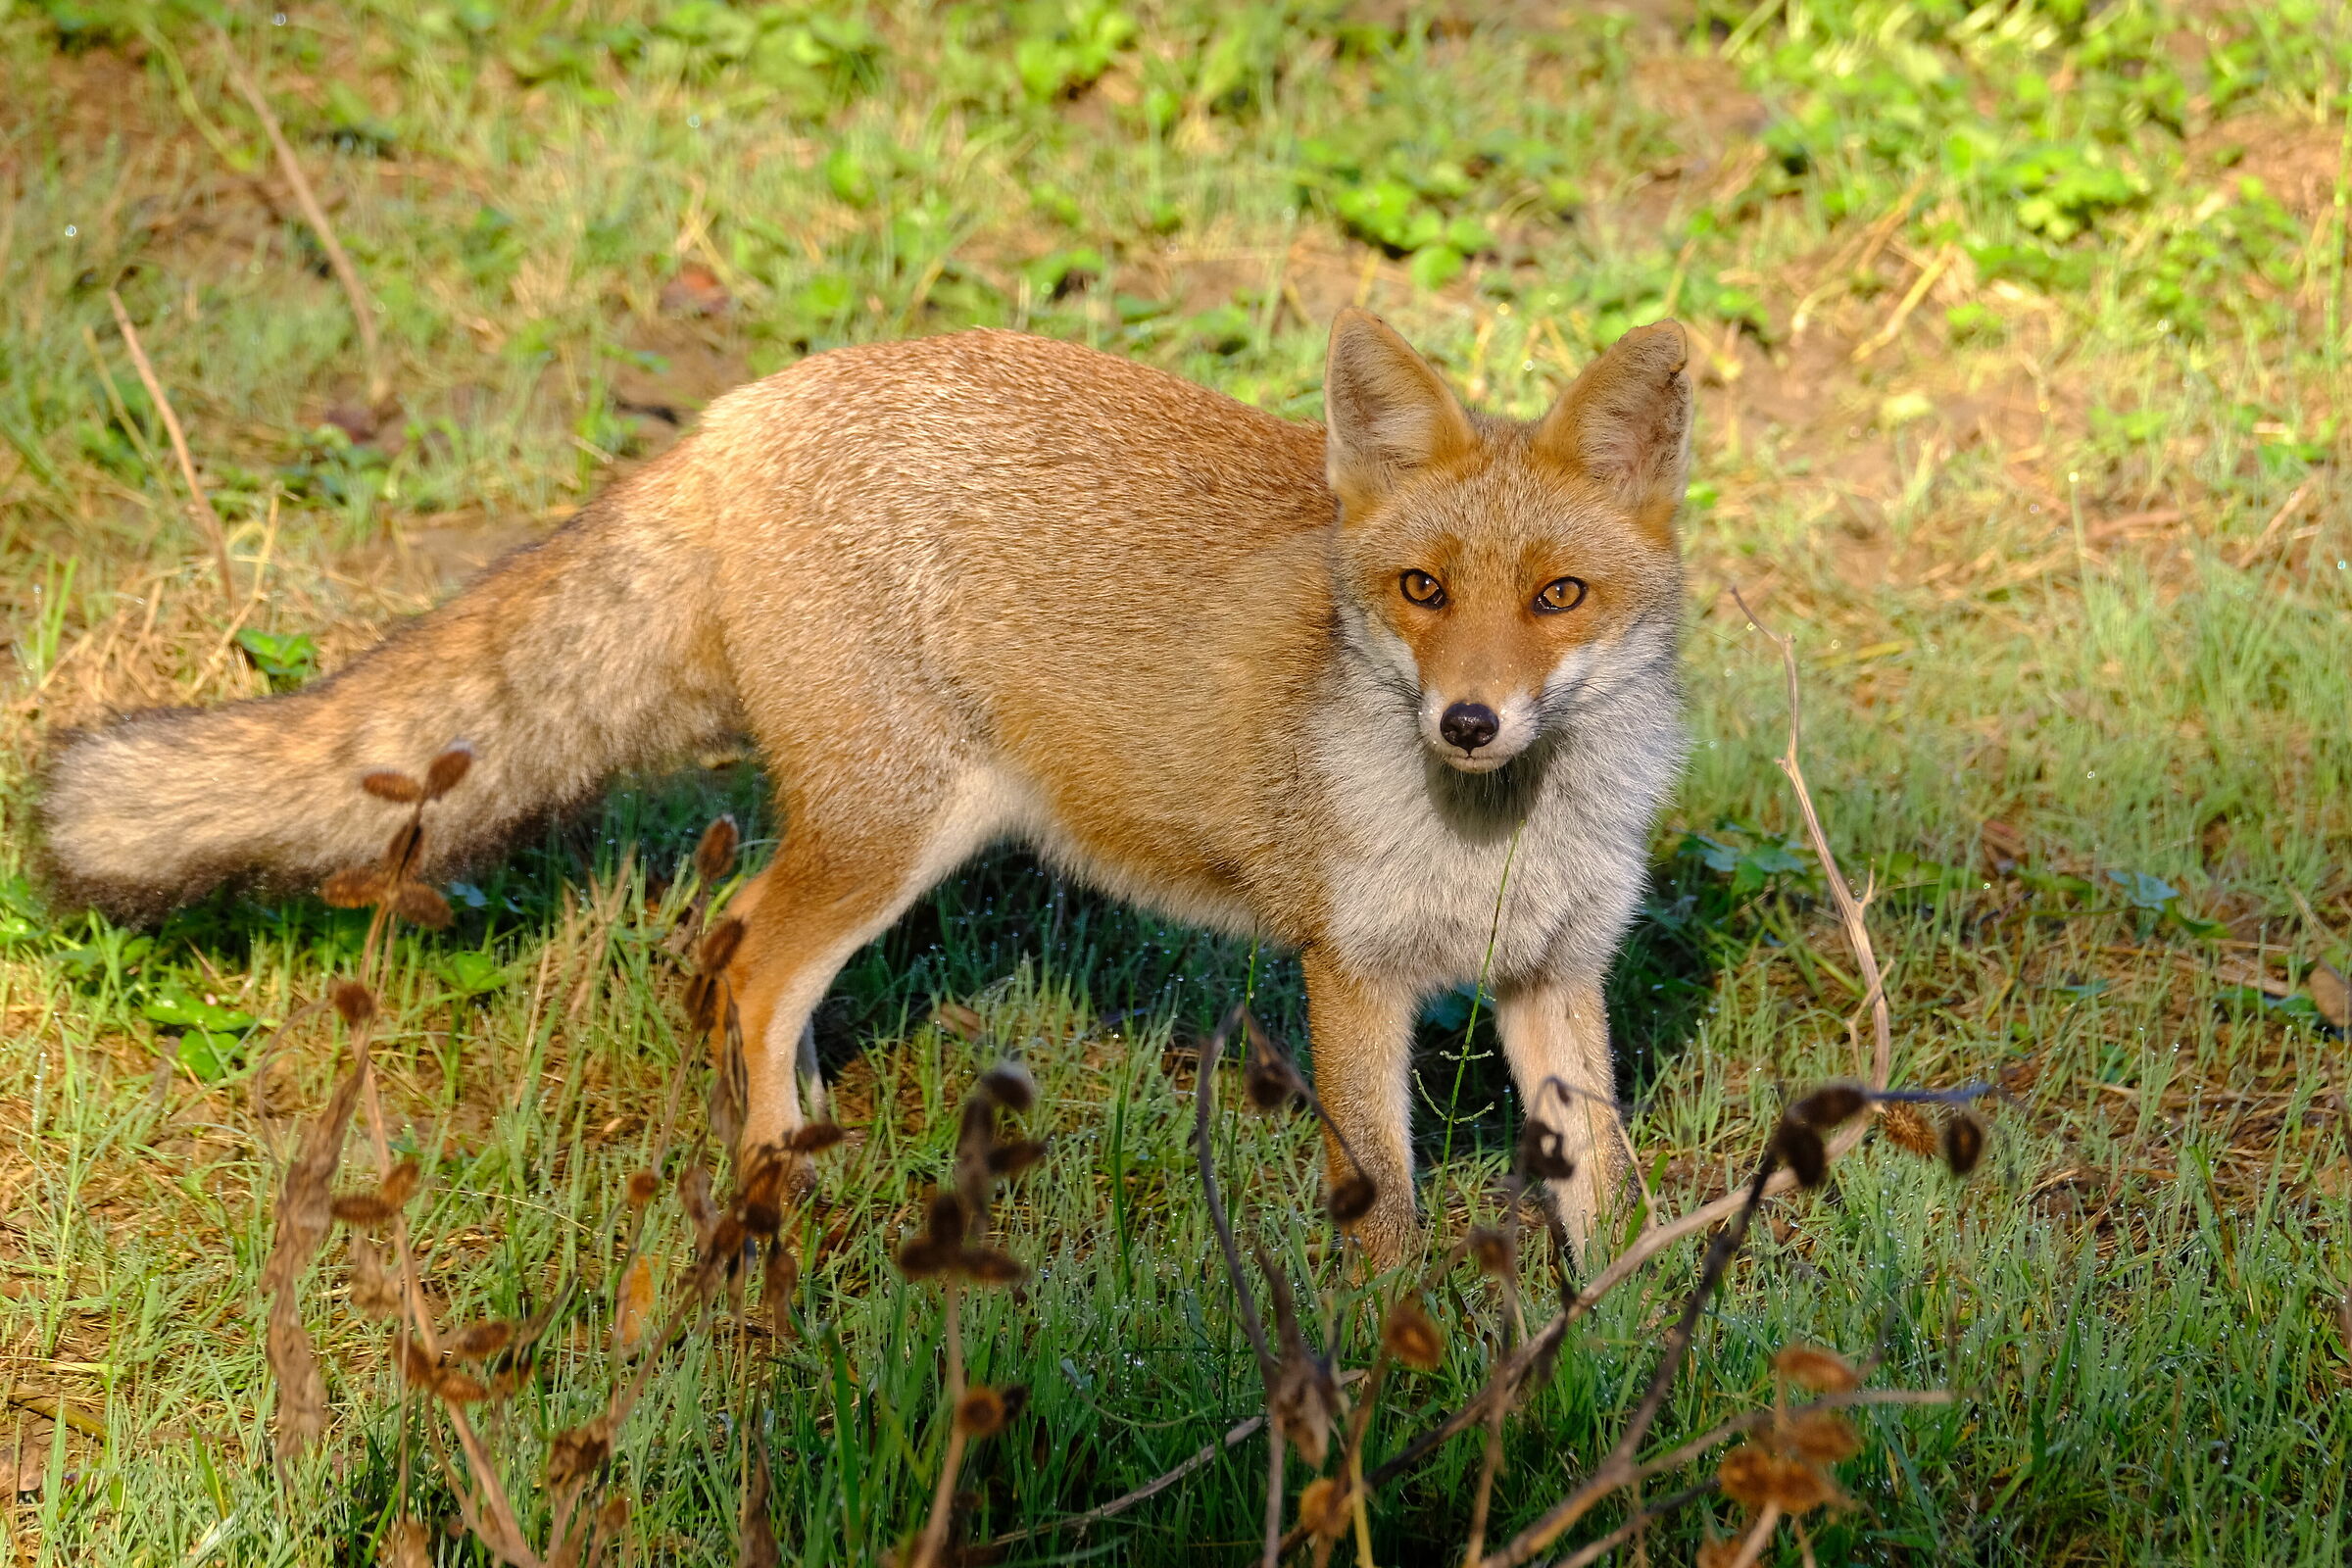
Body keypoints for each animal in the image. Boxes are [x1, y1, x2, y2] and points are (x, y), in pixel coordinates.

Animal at [40, 309, 1692, 1263]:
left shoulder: (1554, 972)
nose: (1469, 720)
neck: (1496, 838)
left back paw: (785, 1128)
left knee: (719, 955)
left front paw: (1618, 1353)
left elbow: (1604, 1189)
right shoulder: (1350, 975)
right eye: (1420, 589)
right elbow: (1392, 1216)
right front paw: (1394, 1390)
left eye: (1556, 596)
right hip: (892, 830)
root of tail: (744, 410)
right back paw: (777, 1184)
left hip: (869, 831)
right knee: (755, 967)